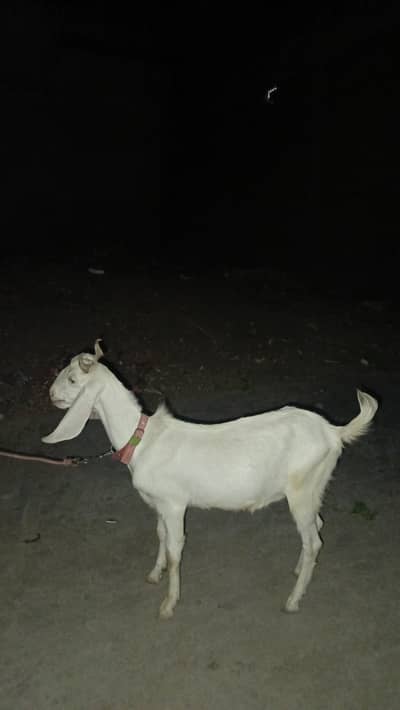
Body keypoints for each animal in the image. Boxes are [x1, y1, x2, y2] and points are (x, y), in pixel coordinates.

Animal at [42, 341, 378, 619]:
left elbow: (175, 550)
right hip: (313, 488)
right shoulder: (159, 504)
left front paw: (169, 604)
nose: (50, 395)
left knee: (313, 540)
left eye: (72, 380)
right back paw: (299, 572)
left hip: (302, 490)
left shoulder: (174, 505)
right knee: (316, 530)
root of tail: (333, 432)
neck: (144, 440)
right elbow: (160, 535)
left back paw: (293, 600)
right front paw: (154, 574)